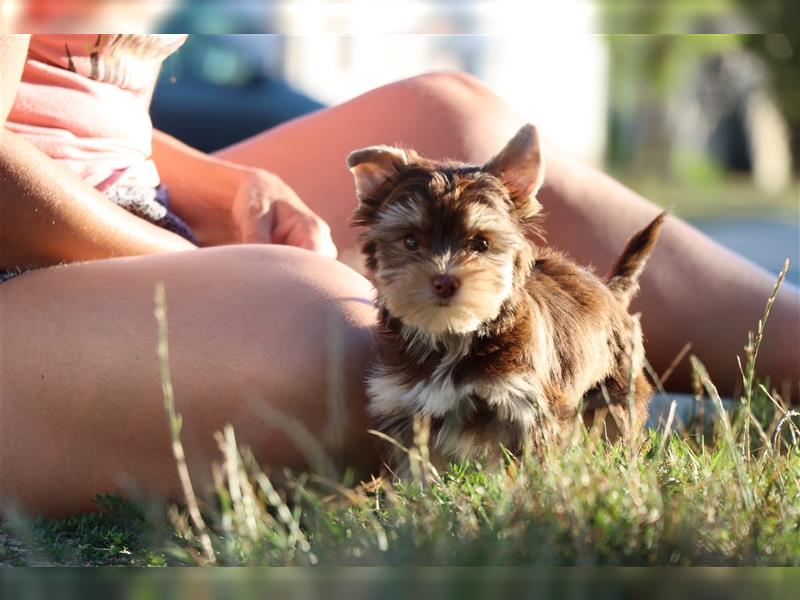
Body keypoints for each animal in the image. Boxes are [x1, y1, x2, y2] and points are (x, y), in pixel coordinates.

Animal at [346, 124, 664, 474]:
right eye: (411, 242)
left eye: (481, 244)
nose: (444, 281)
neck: (453, 337)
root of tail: (609, 290)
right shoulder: (408, 406)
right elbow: (419, 467)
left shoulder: (526, 404)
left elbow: (532, 460)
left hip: (618, 386)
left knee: (616, 425)